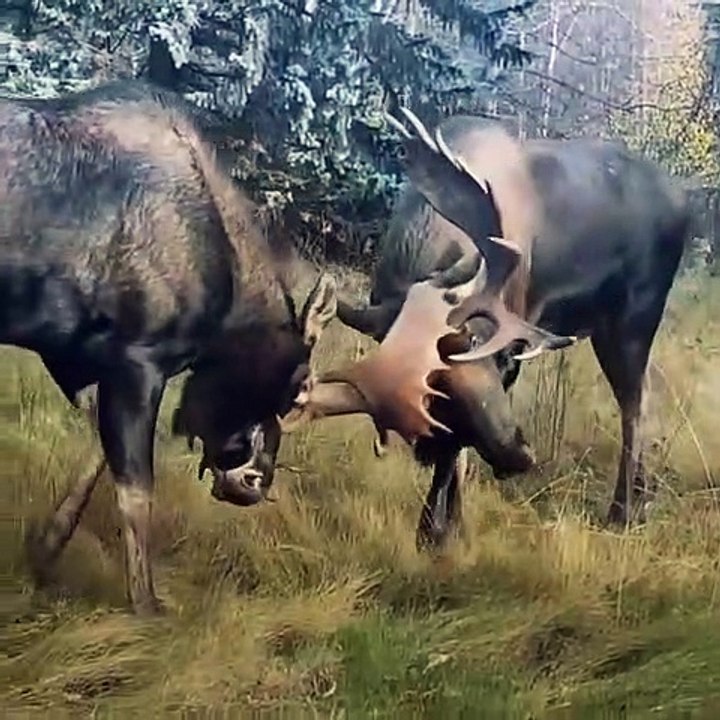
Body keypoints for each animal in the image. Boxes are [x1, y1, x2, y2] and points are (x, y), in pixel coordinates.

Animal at [0, 79, 337, 615]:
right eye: (298, 385)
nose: (255, 482)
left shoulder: (83, 360)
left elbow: (99, 455)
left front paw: (46, 548)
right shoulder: (139, 360)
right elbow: (137, 490)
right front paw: (145, 602)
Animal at [282, 108, 689, 548]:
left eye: (493, 356)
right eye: (433, 392)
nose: (519, 456)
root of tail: (686, 204)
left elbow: (454, 454)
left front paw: (437, 532)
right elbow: (456, 449)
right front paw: (445, 526)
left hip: (636, 314)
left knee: (635, 403)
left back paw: (623, 511)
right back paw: (641, 498)